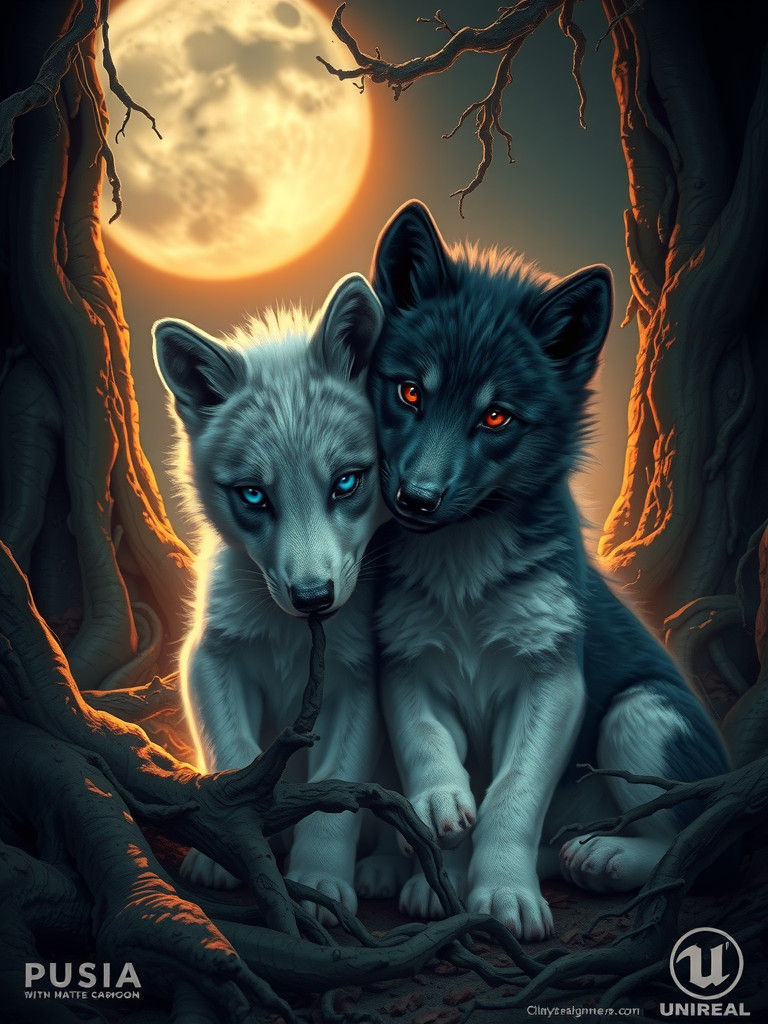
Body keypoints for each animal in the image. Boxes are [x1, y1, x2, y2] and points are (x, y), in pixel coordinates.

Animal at [153, 273, 387, 922]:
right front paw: (225, 846)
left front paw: (321, 882)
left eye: (347, 483)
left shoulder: (360, 683)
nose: (312, 597)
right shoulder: (209, 659)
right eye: (254, 495)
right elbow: (233, 754)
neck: (290, 642)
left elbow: (334, 798)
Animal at [367, 201, 730, 941]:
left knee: (692, 842)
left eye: (495, 417)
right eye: (411, 392)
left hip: (640, 711)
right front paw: (440, 849)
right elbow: (429, 754)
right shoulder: (408, 668)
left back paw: (603, 856)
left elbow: (513, 794)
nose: (415, 500)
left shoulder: (553, 682)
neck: (464, 565)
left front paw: (504, 897)